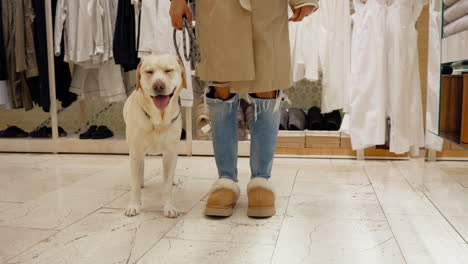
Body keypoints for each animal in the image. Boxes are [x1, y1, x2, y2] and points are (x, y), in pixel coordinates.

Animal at [123, 54, 186, 219]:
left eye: (168, 70)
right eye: (149, 72)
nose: (158, 86)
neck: (158, 121)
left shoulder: (170, 153)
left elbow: (167, 185)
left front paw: (169, 207)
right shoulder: (136, 151)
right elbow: (134, 183)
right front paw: (134, 206)